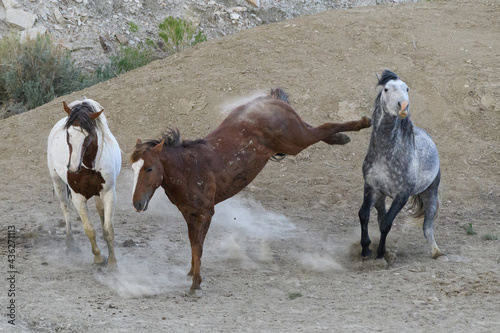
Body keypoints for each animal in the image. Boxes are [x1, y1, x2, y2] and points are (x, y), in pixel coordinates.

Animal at [47, 98, 121, 268]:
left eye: (88, 135)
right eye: (68, 133)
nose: (73, 168)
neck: (89, 167)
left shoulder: (108, 193)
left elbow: (108, 229)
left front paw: (112, 261)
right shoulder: (78, 197)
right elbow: (89, 229)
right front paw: (99, 257)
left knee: (100, 211)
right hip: (58, 183)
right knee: (65, 208)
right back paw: (70, 243)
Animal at [130, 88, 372, 290]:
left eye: (149, 168)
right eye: (132, 168)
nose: (137, 203)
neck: (188, 167)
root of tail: (271, 100)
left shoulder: (206, 212)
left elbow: (198, 246)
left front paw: (196, 282)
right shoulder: (189, 214)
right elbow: (192, 244)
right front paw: (191, 273)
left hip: (296, 140)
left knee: (324, 127)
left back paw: (362, 122)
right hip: (295, 138)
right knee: (317, 128)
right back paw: (341, 137)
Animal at [358, 70, 448, 260]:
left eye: (407, 88)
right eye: (386, 89)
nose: (404, 106)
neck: (385, 154)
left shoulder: (402, 195)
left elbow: (386, 223)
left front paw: (380, 254)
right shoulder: (370, 187)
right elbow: (364, 215)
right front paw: (366, 249)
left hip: (430, 193)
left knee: (427, 226)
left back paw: (437, 253)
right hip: (380, 196)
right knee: (379, 214)